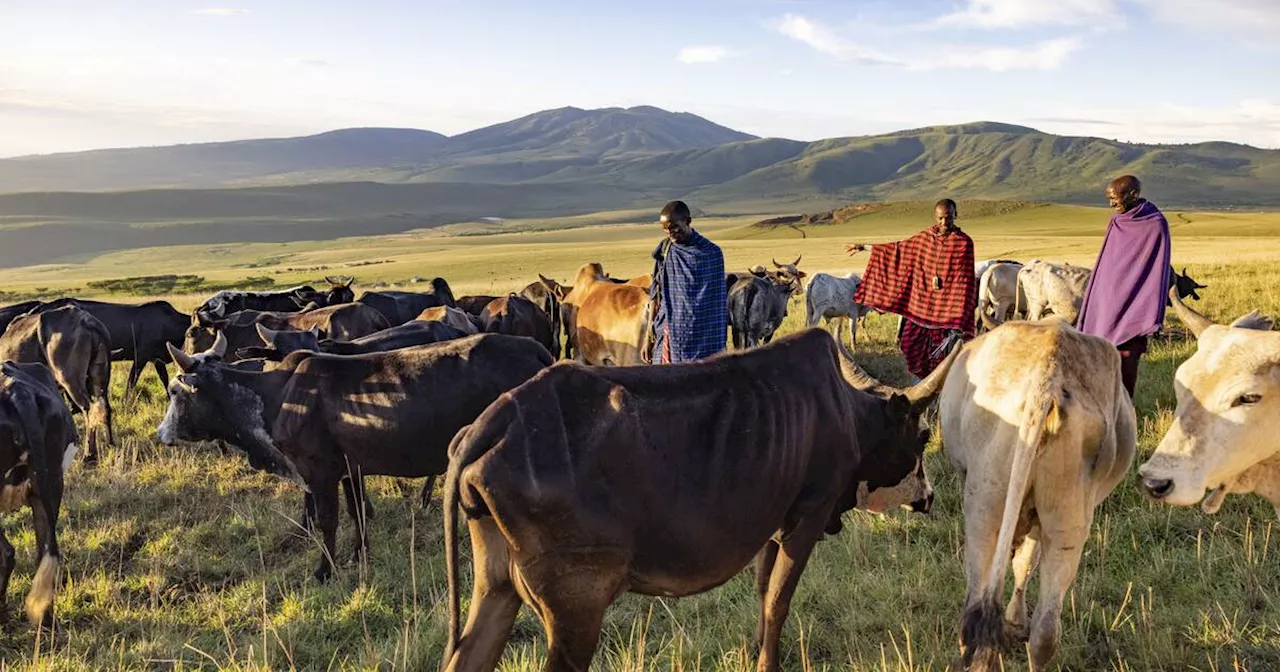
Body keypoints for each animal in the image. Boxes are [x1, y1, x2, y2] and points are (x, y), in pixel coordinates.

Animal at [0, 305, 113, 463]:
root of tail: (87, 321)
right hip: (100, 378)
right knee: (105, 408)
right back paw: (111, 444)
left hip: (71, 380)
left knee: (90, 410)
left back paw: (89, 455)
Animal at [445, 327, 957, 670]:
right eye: (922, 435)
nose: (929, 497)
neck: (848, 414)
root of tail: (492, 423)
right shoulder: (809, 517)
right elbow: (778, 600)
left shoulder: (773, 526)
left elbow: (762, 592)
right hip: (577, 609)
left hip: (497, 590)